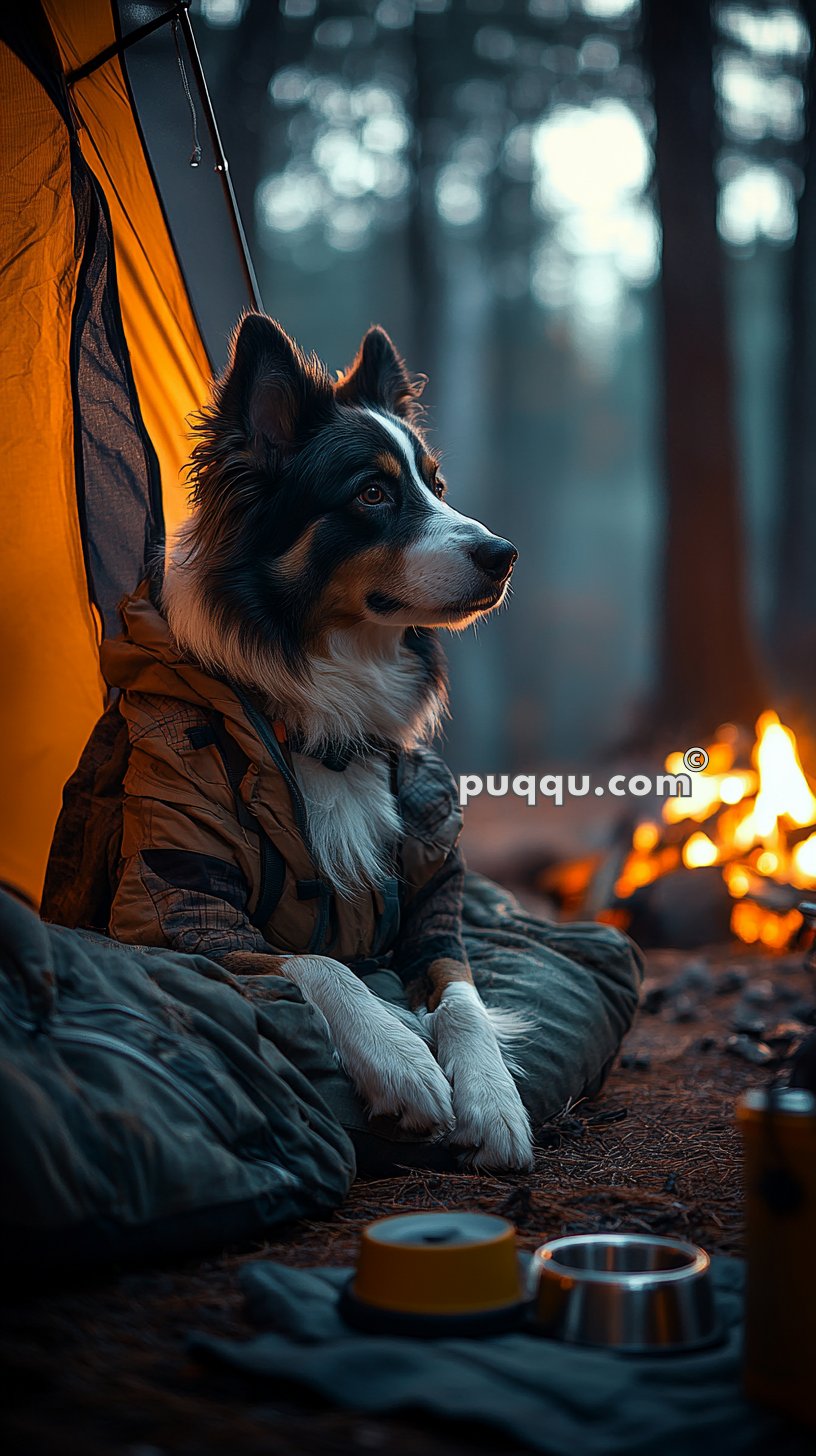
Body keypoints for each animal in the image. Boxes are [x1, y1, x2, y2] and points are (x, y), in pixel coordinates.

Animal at [158, 315, 536, 1170]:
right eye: (372, 492)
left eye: (438, 487)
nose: (503, 556)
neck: (324, 719)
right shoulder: (182, 915)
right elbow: (321, 960)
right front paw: (401, 1064)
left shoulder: (432, 909)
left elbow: (461, 994)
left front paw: (493, 1101)